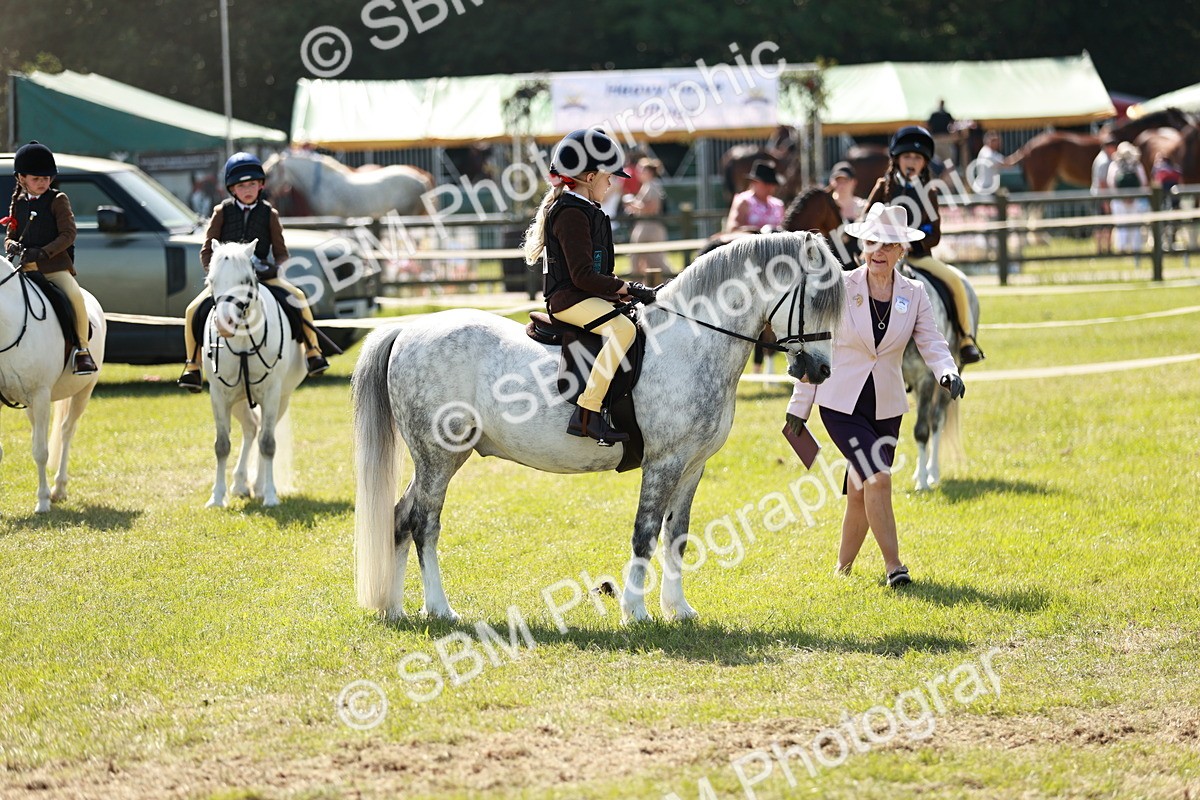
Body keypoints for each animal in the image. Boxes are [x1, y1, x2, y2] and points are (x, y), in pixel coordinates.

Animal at [0, 256, 107, 513]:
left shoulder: (40, 395)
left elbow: (41, 452)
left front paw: (43, 501)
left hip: (83, 392)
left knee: (67, 431)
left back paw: (59, 488)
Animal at [201, 240, 306, 508]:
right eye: (211, 280)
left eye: (246, 280)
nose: (224, 323)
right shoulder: (219, 395)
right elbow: (221, 445)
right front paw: (216, 497)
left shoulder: (271, 394)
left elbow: (268, 444)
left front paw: (270, 495)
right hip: (238, 400)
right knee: (250, 429)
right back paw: (240, 484)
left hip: (281, 400)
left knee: (261, 434)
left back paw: (258, 487)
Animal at [351, 232, 845, 623]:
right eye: (814, 300)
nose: (821, 371)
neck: (691, 340)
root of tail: (406, 330)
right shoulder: (663, 464)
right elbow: (645, 534)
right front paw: (636, 612)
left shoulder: (692, 467)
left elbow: (677, 537)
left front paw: (679, 610)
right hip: (439, 457)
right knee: (424, 525)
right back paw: (439, 608)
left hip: (438, 460)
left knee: (400, 518)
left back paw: (395, 608)